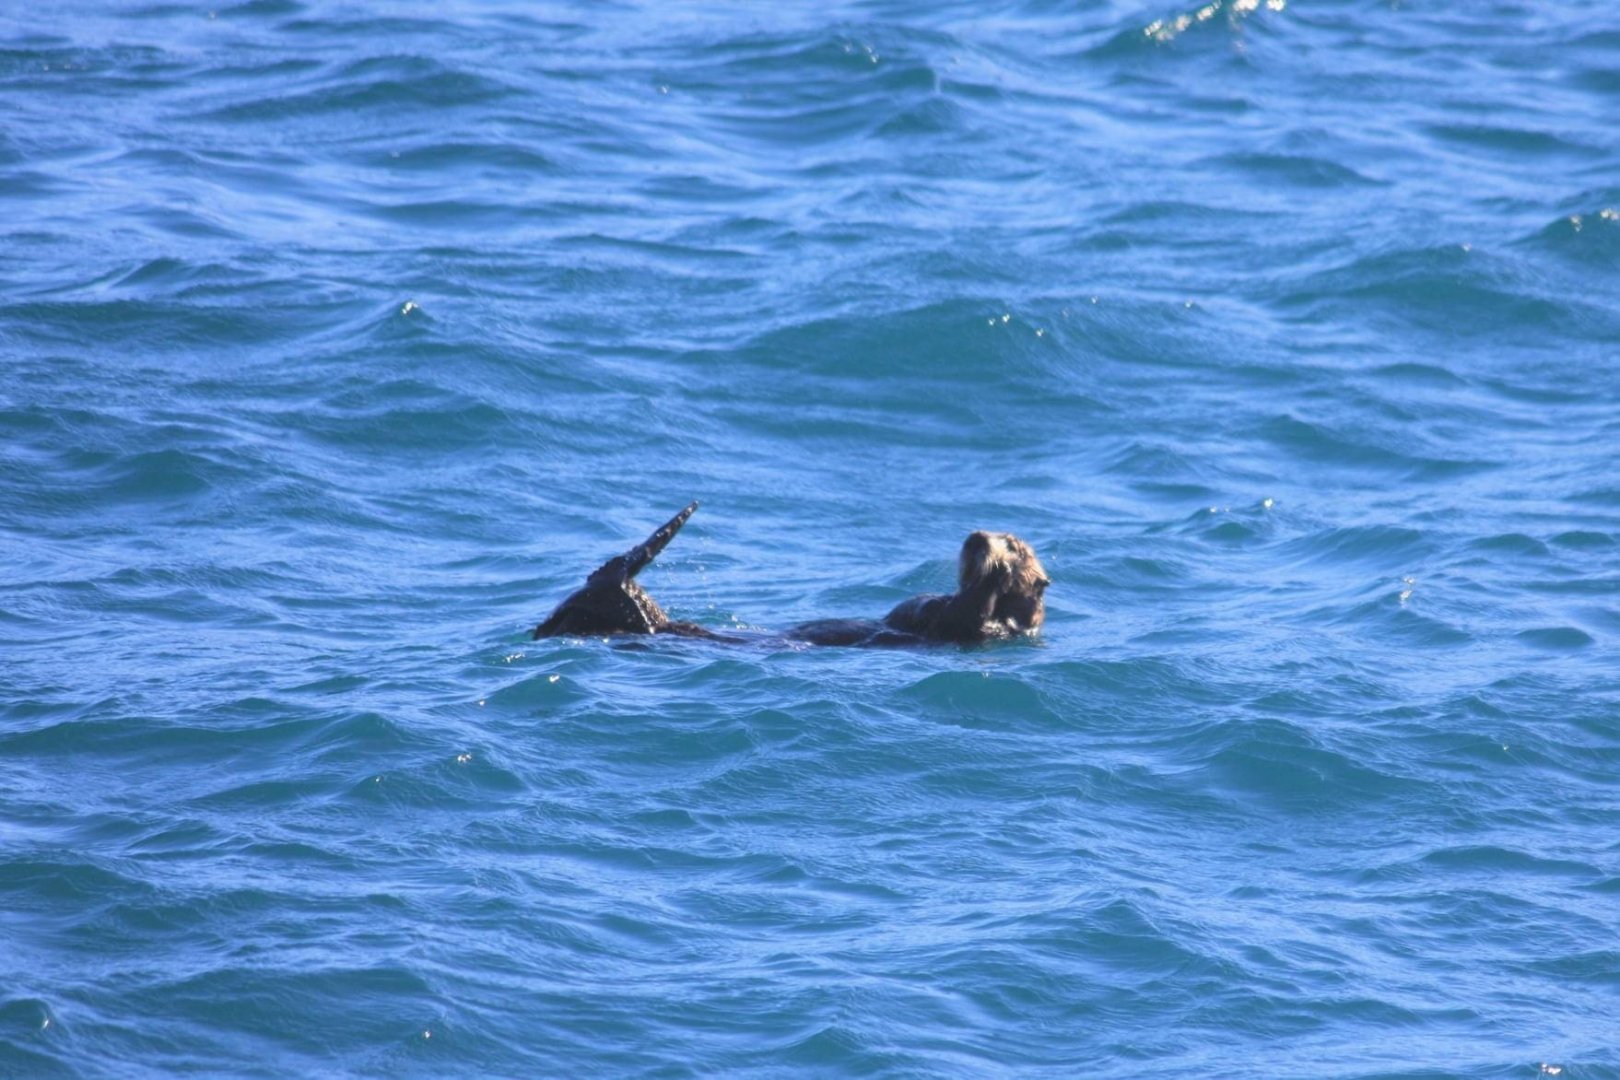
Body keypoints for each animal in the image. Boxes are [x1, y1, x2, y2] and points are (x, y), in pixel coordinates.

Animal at [531, 503, 1048, 645]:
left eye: (1016, 545)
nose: (976, 537)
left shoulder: (978, 628)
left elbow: (975, 612)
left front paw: (995, 575)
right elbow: (915, 607)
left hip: (626, 614)